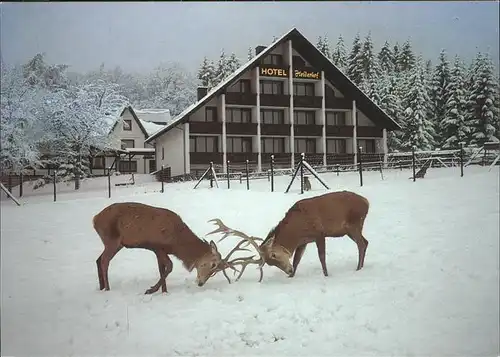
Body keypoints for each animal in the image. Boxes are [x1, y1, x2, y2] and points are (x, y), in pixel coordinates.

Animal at [92, 202, 225, 294]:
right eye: (213, 265)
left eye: (216, 270)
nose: (201, 283)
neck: (177, 244)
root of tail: (94, 219)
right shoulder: (157, 246)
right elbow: (169, 266)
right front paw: (151, 290)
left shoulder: (158, 250)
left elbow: (162, 269)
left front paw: (164, 291)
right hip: (111, 240)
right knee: (104, 261)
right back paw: (107, 288)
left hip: (117, 244)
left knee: (98, 259)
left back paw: (101, 286)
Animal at [205, 191, 370, 280]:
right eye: (271, 263)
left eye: (274, 255)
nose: (288, 271)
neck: (298, 229)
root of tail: (367, 201)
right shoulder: (304, 241)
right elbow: (297, 259)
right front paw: (291, 276)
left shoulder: (319, 233)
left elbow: (321, 256)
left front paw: (326, 275)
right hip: (350, 229)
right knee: (366, 242)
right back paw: (361, 266)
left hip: (355, 223)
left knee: (361, 244)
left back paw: (358, 268)